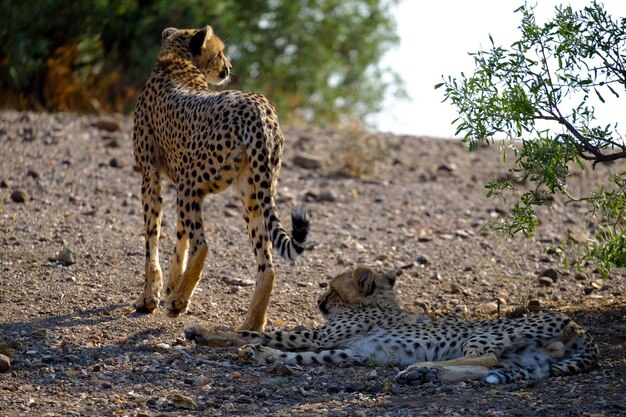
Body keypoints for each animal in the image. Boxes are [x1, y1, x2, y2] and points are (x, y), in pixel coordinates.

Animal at [133, 26, 308, 332]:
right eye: (220, 52)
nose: (228, 67)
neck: (178, 62)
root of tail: (259, 106)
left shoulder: (151, 176)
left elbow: (152, 239)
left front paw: (151, 296)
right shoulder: (173, 178)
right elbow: (180, 237)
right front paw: (172, 282)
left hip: (193, 181)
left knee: (204, 244)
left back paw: (178, 302)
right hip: (253, 195)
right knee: (267, 265)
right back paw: (251, 325)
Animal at [184, 266, 596, 384]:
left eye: (332, 289)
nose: (319, 302)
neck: (376, 302)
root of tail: (578, 325)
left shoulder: (320, 334)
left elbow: (260, 331)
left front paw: (208, 333)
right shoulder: (350, 352)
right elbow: (301, 358)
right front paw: (263, 355)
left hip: (482, 332)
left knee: (486, 360)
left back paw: (420, 369)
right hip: (528, 361)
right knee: (487, 368)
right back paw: (425, 374)